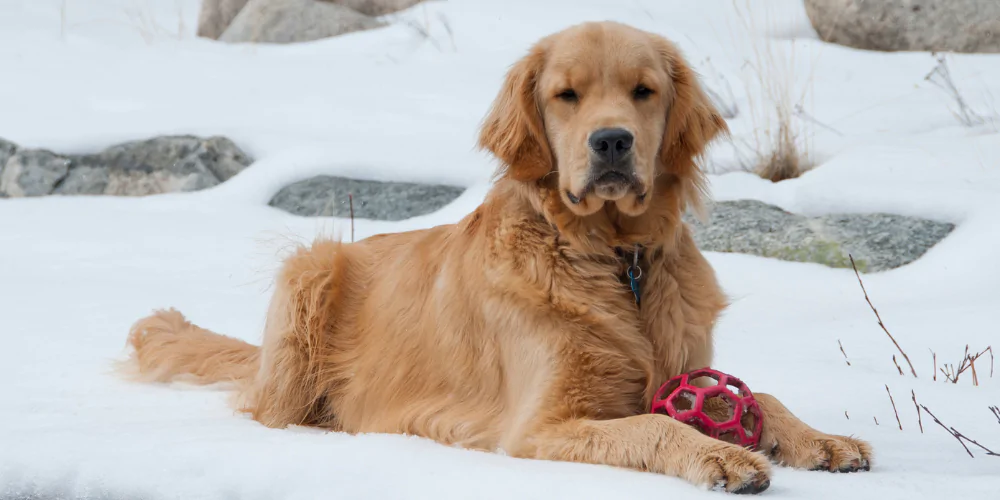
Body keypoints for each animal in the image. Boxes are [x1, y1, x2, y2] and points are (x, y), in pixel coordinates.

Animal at [125, 21, 872, 494]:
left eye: (644, 90)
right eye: (566, 94)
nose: (611, 142)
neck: (611, 258)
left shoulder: (684, 364)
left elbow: (756, 395)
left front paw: (819, 438)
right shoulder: (538, 426)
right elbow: (655, 423)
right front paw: (720, 454)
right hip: (308, 269)